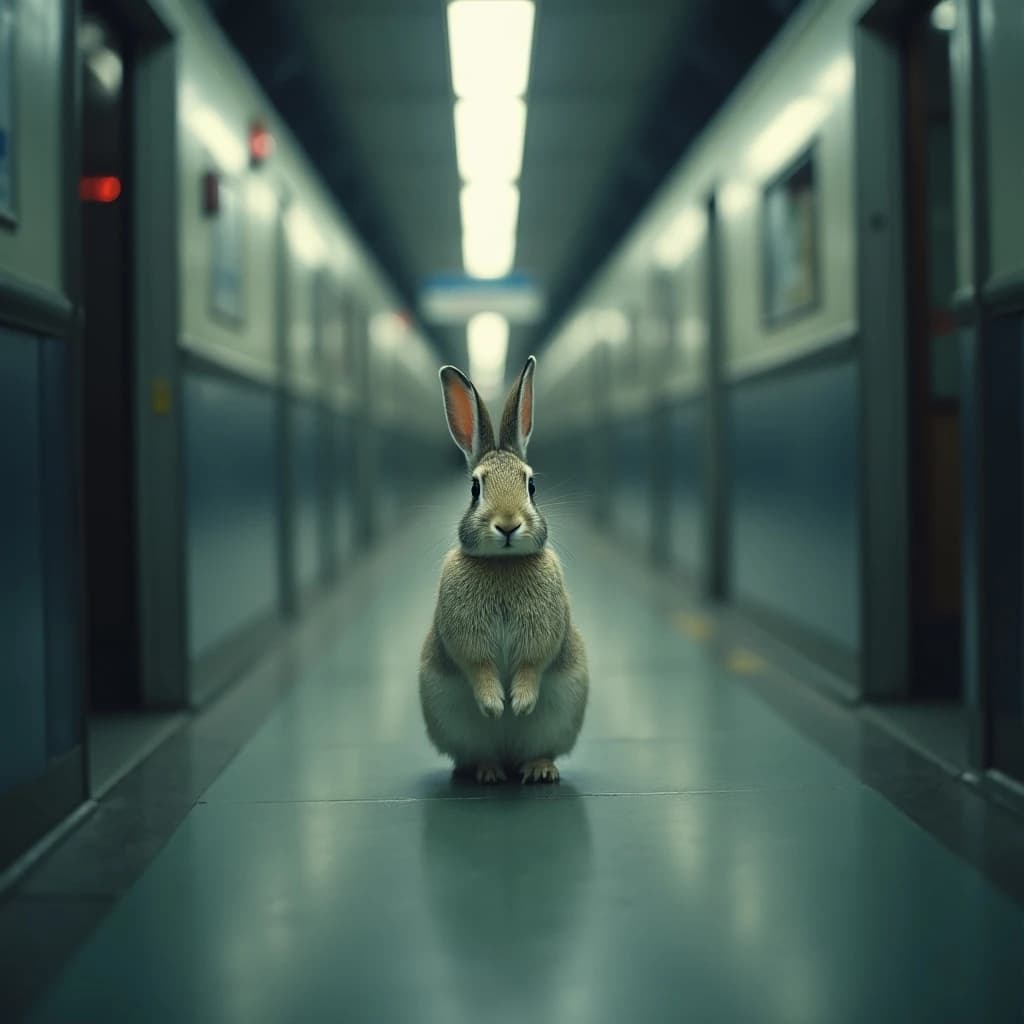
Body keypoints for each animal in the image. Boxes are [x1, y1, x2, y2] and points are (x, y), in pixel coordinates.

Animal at [419, 355, 589, 784]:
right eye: (475, 489)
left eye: (532, 486)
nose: (509, 524)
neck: (503, 565)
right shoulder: (464, 636)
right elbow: (477, 664)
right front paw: (496, 705)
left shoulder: (542, 633)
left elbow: (533, 662)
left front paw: (521, 703)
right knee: (478, 754)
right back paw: (489, 772)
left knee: (537, 751)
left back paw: (539, 770)